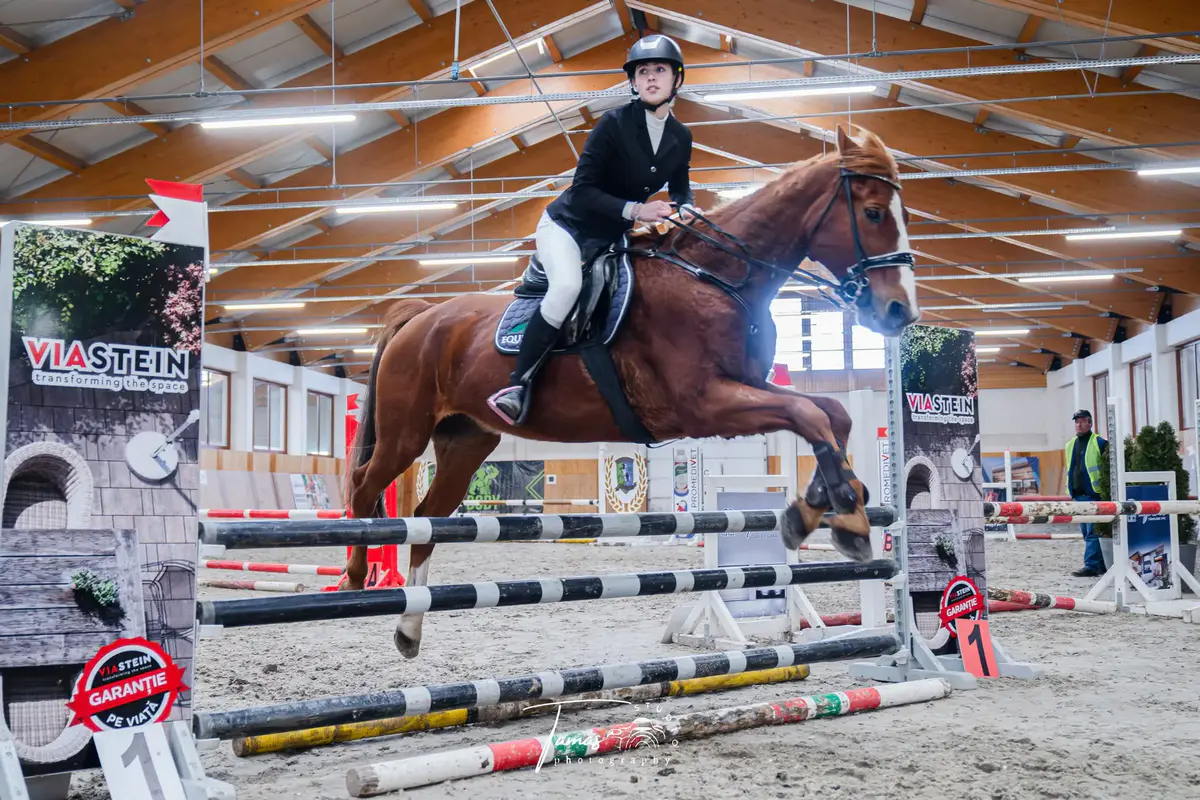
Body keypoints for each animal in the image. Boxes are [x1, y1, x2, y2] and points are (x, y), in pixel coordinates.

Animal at [345, 126, 920, 658]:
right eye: (873, 213)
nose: (900, 313)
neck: (713, 276)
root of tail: (421, 315)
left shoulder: (748, 388)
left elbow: (831, 413)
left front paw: (826, 503)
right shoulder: (706, 404)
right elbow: (810, 414)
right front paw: (845, 522)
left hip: (465, 442)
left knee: (427, 517)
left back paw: (408, 629)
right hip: (406, 434)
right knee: (363, 485)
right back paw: (354, 578)